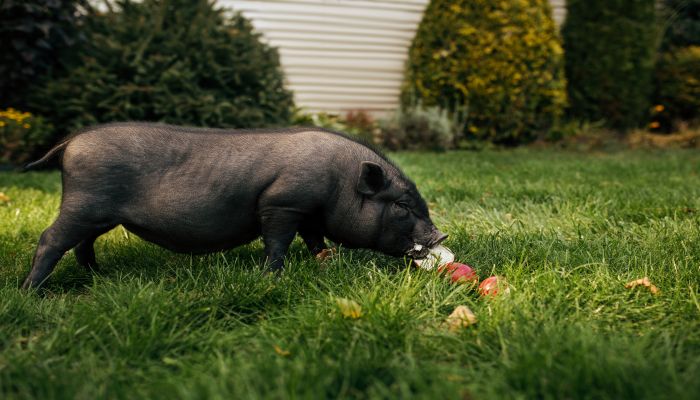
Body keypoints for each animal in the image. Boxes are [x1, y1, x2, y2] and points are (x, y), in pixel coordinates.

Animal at [23, 122, 448, 288]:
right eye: (402, 205)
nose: (441, 234)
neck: (339, 181)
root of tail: (72, 142)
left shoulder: (309, 213)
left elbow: (315, 239)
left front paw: (326, 263)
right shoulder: (283, 203)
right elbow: (277, 242)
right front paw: (273, 277)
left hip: (97, 213)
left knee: (83, 243)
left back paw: (98, 275)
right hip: (84, 203)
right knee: (50, 239)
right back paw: (31, 291)